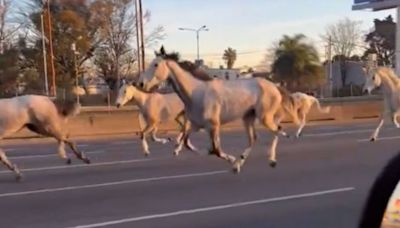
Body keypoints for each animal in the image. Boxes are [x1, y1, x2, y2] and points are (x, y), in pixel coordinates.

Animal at [137, 46, 296, 173]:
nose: (140, 83)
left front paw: (231, 160)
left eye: (156, 64)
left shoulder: (213, 125)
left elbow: (216, 150)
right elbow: (187, 142)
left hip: (265, 117)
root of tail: (274, 86)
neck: (196, 92)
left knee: (277, 130)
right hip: (248, 117)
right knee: (254, 139)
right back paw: (240, 162)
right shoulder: (197, 125)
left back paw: (271, 160)